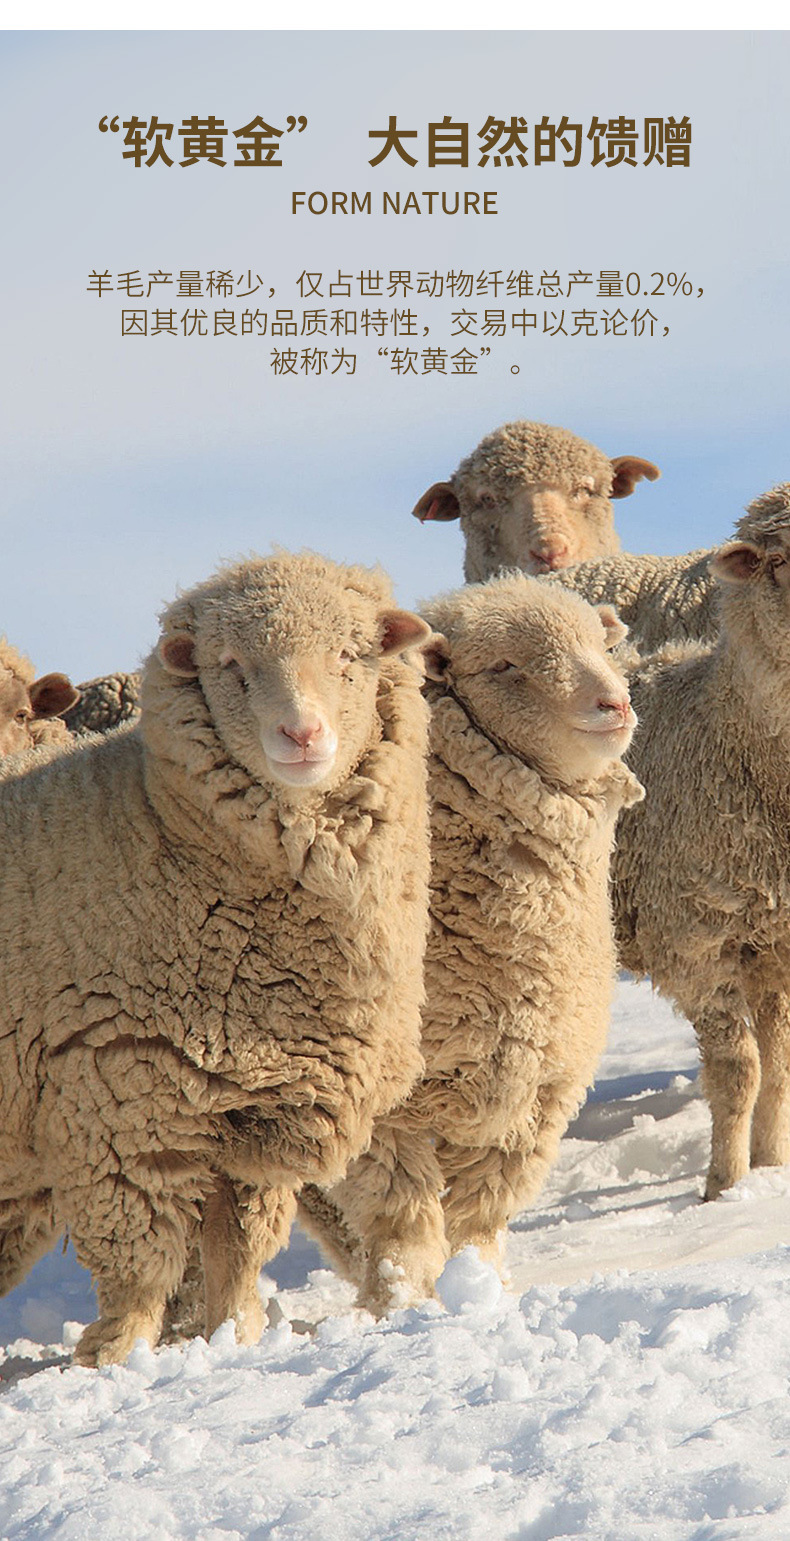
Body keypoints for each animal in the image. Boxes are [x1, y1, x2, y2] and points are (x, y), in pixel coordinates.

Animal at [0, 550, 433, 1366]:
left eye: (349, 653)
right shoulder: (118, 1096)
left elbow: (238, 1250)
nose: (302, 733)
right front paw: (118, 1359)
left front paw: (233, 1337)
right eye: (230, 665)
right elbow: (141, 1267)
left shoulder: (247, 1108)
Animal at [296, 575, 644, 1315]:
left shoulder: (533, 1092)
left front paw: (478, 1287)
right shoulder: (377, 1104)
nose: (614, 704)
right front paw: (402, 1302)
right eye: (504, 666)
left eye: (601, 645)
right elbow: (402, 1215)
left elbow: (478, 1213)